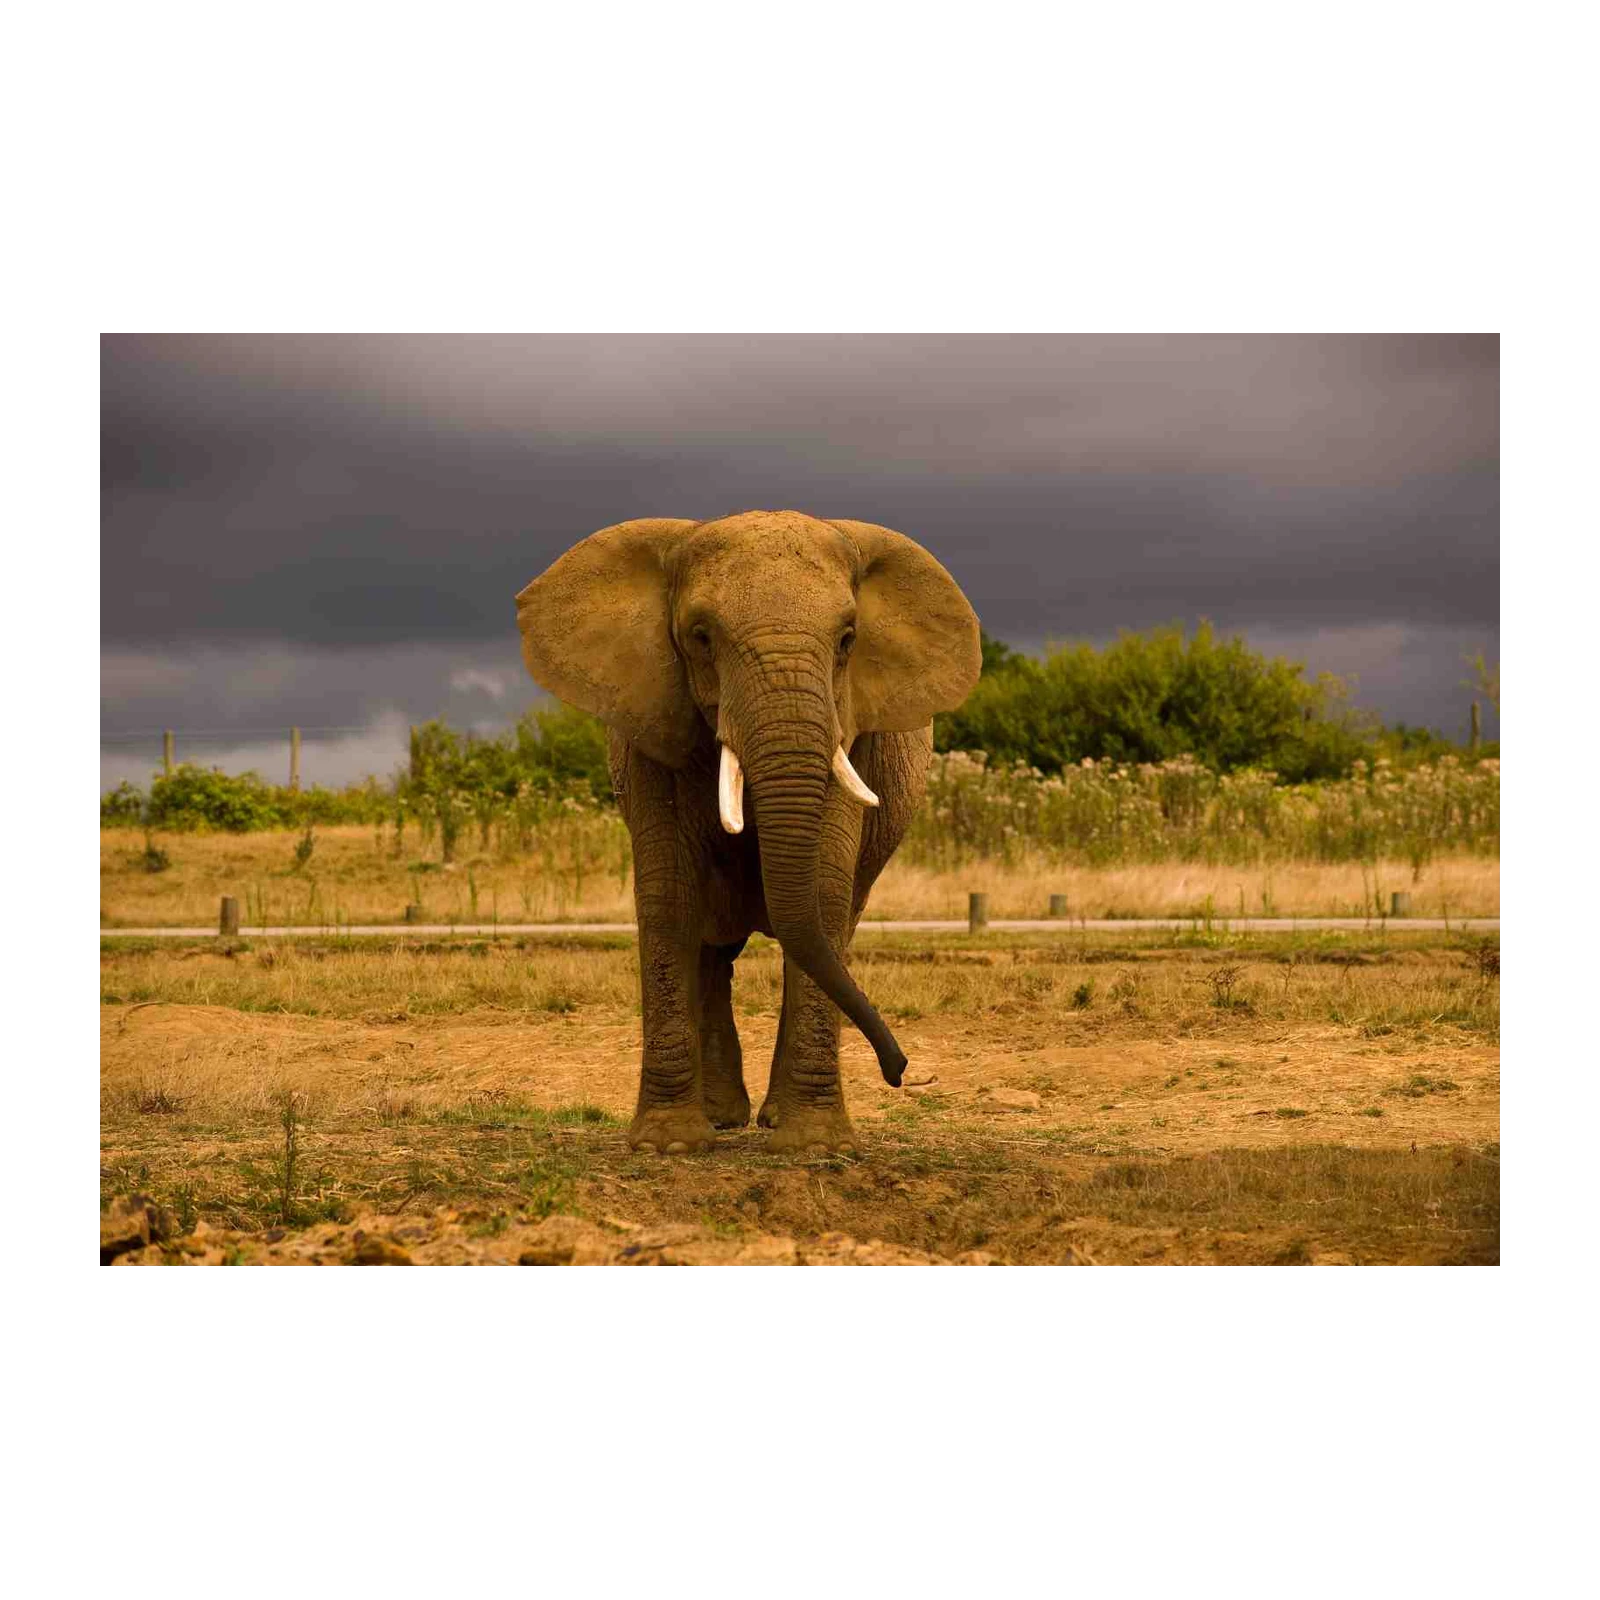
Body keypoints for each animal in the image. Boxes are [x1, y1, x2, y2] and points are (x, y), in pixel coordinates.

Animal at [515, 510, 981, 1155]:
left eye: (848, 640)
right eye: (701, 637)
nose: (902, 1070)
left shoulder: (852, 727)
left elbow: (825, 895)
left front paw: (816, 1147)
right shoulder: (650, 717)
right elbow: (668, 895)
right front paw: (668, 1145)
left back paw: (767, 1118)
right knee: (712, 944)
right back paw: (722, 1117)